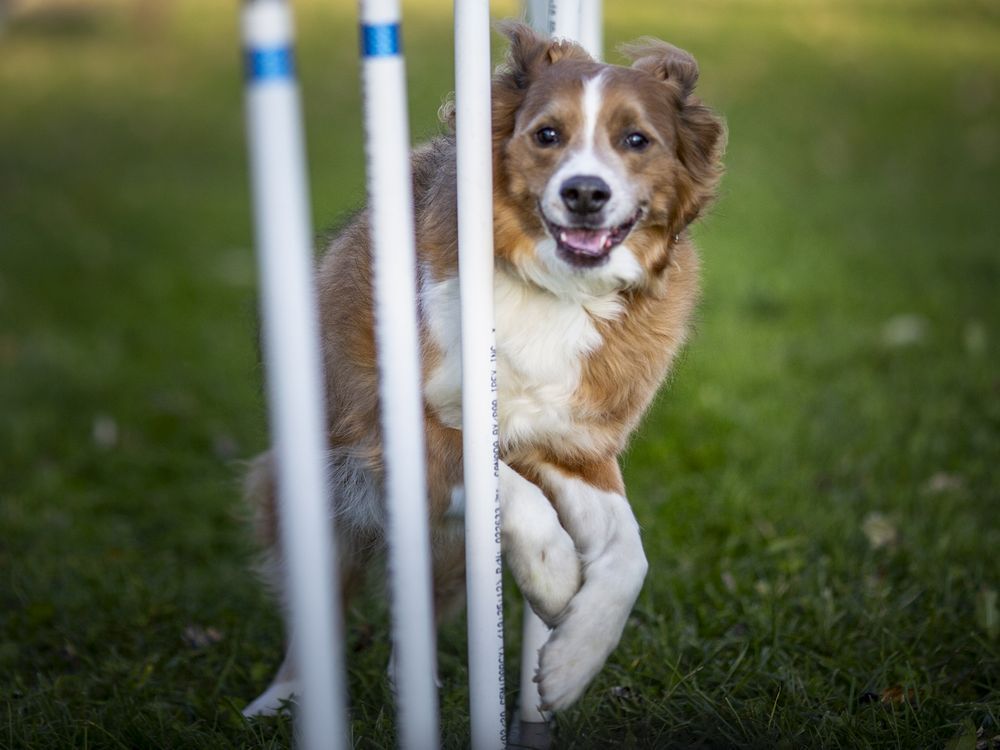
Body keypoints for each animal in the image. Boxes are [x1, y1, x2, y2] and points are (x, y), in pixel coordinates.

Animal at [246, 22, 724, 716]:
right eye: (546, 134)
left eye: (636, 140)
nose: (585, 194)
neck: (551, 287)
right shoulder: (389, 424)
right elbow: (505, 485)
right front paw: (555, 577)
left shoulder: (573, 443)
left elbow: (628, 551)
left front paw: (572, 661)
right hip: (316, 491)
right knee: (320, 610)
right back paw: (281, 701)